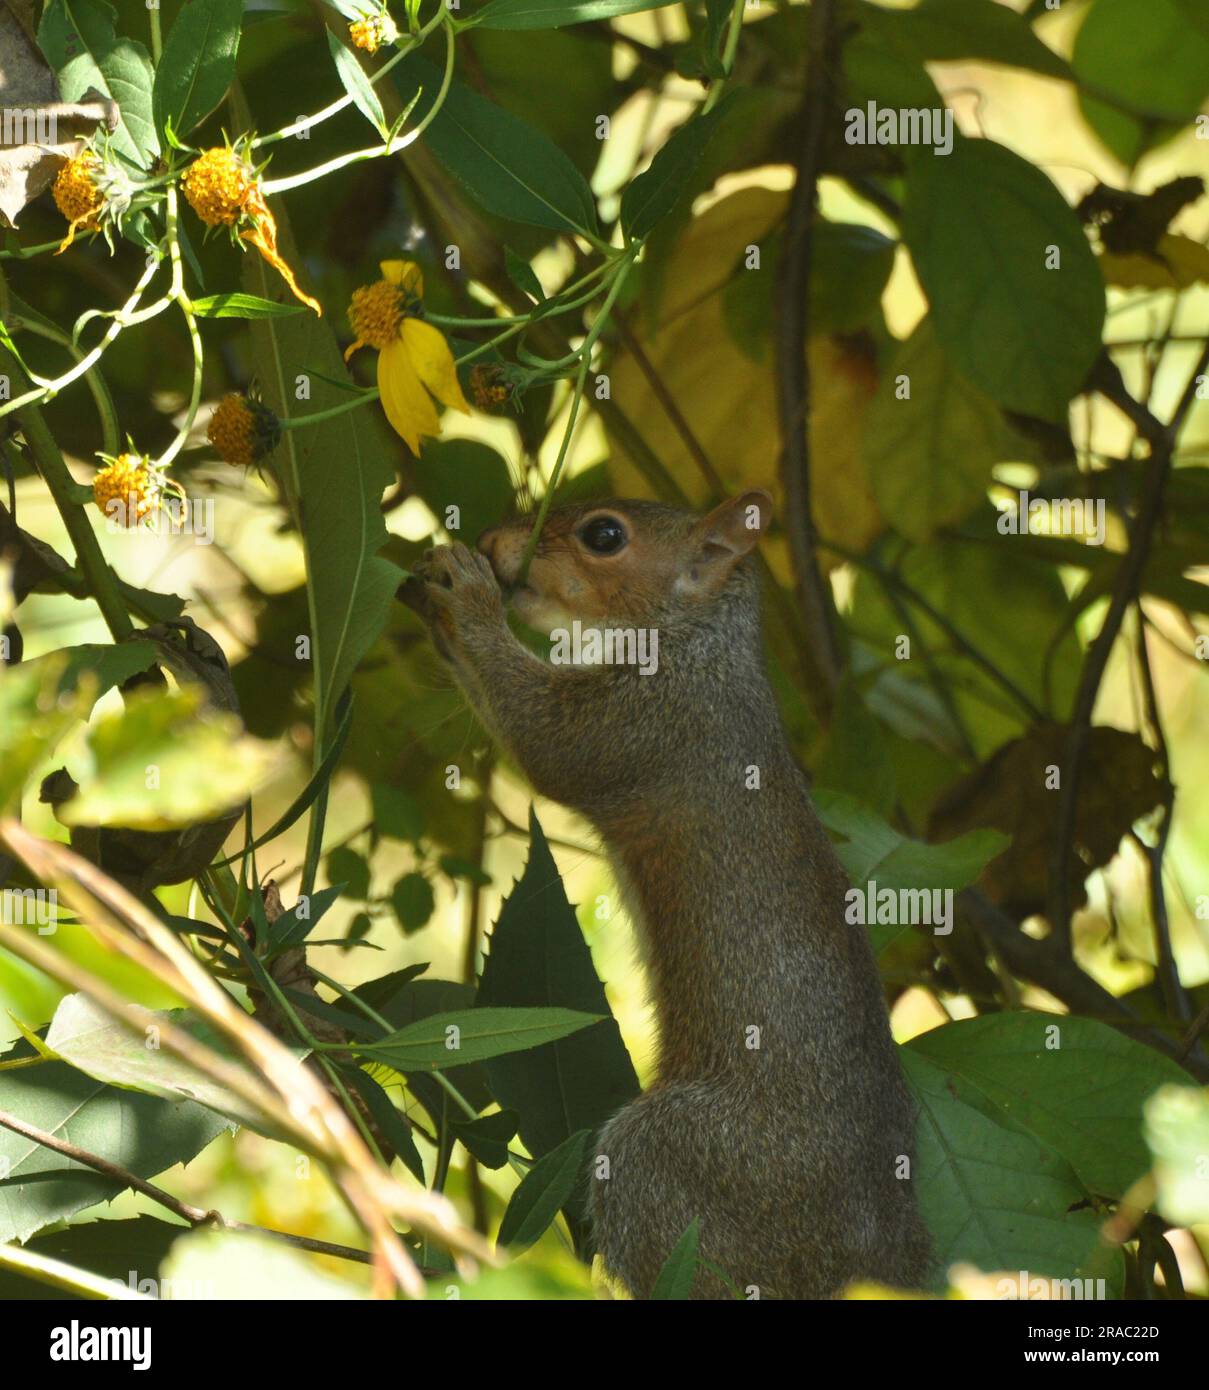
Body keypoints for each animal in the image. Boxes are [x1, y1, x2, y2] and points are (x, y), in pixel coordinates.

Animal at [405, 490, 931, 1300]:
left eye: (604, 535)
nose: (495, 541)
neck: (697, 641)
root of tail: (873, 1261)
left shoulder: (649, 721)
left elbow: (547, 740)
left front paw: (462, 596)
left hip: (679, 1166)